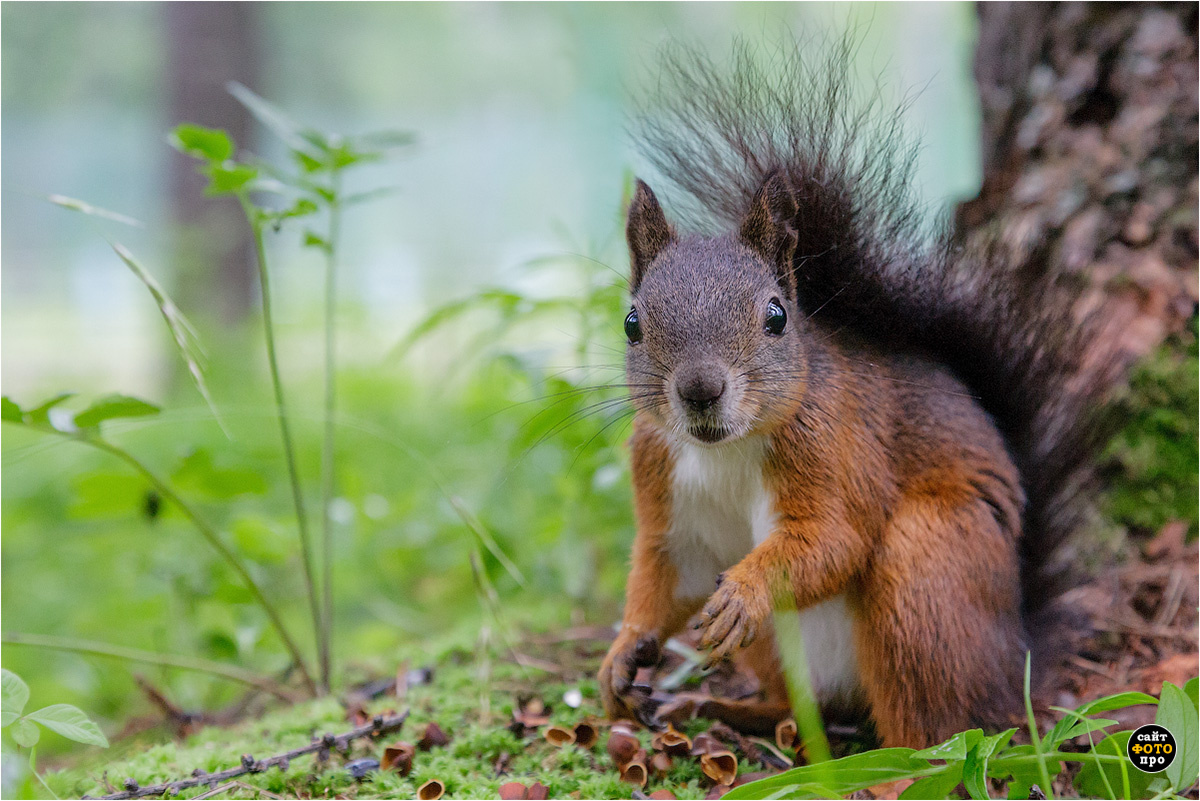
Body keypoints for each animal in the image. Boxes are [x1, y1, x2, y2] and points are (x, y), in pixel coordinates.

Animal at [597, 38, 1133, 749]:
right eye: (632, 322)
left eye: (776, 317)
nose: (700, 390)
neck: (723, 450)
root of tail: (1016, 657)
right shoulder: (661, 471)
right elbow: (668, 571)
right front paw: (621, 653)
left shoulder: (838, 446)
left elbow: (836, 538)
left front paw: (745, 592)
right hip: (780, 653)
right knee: (812, 708)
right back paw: (727, 711)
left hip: (927, 570)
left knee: (940, 724)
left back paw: (903, 763)